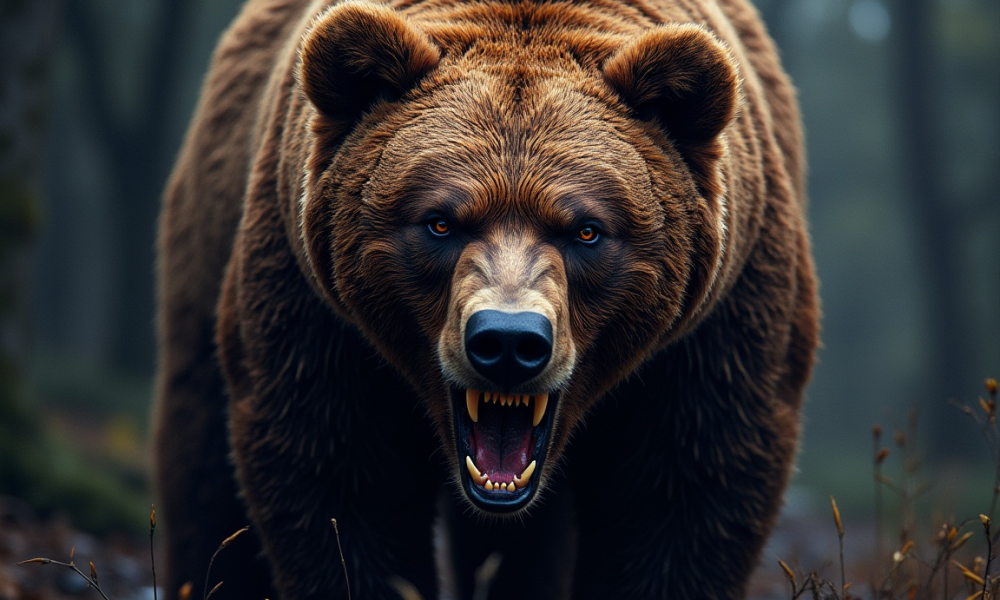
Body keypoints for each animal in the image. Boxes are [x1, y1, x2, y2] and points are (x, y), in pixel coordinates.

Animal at [153, 0, 819, 598]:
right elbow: (337, 480)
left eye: (586, 230)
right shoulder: (319, 320)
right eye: (440, 222)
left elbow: (685, 493)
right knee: (203, 465)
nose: (508, 341)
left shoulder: (712, 332)